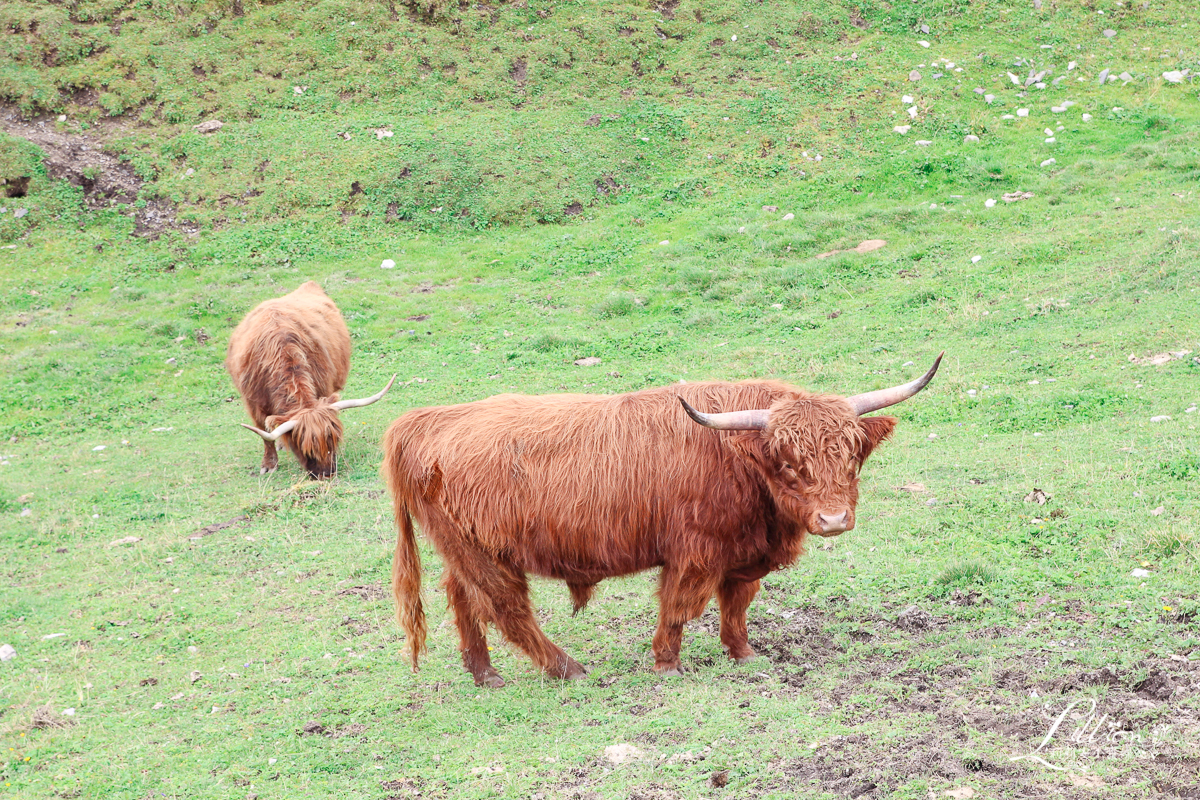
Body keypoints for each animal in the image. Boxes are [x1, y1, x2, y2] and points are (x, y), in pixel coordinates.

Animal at [225, 283, 393, 474]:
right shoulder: (254, 403)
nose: (326, 473)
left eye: (333, 439)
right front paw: (268, 465)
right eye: (305, 448)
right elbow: (265, 434)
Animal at [381, 357, 936, 690]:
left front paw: (744, 653)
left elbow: (736, 604)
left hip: (463, 548)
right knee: (507, 609)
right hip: (487, 555)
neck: (738, 461)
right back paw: (568, 668)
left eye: (851, 457)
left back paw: (485, 674)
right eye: (787, 462)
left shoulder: (741, 555)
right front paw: (667, 664)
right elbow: (678, 606)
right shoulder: (694, 551)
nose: (834, 519)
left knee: (462, 597)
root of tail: (428, 419)